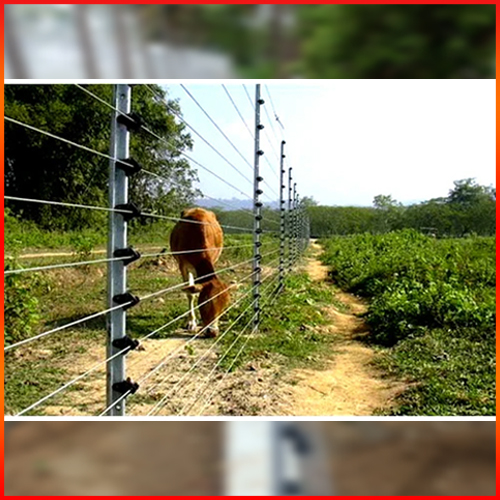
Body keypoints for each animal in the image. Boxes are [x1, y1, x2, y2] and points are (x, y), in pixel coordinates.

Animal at [169, 205, 229, 338]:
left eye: (224, 306)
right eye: (205, 303)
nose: (213, 332)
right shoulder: (183, 265)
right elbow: (190, 294)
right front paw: (191, 322)